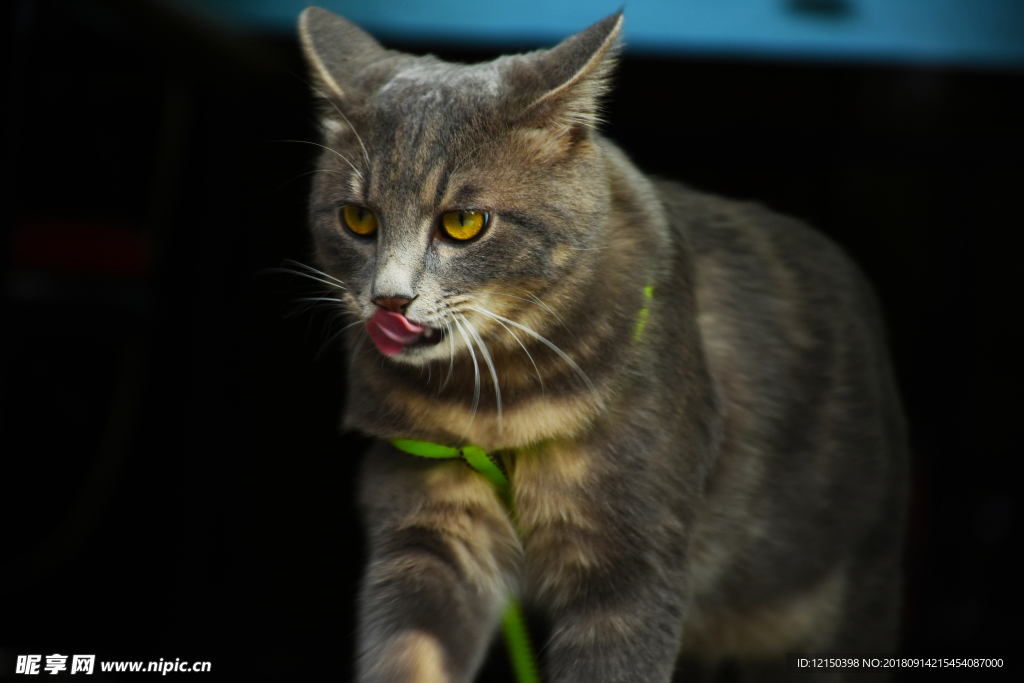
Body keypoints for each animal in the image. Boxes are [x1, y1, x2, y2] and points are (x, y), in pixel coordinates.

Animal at [294, 6, 905, 683]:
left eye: (463, 222)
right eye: (358, 219)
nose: (389, 300)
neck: (494, 406)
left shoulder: (633, 562)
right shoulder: (426, 528)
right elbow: (410, 653)